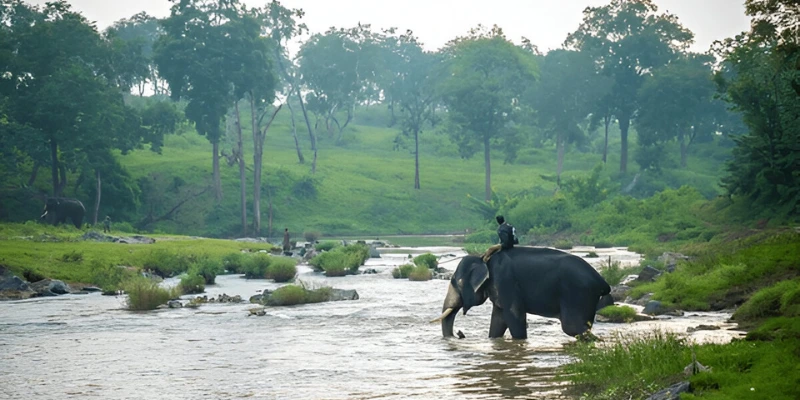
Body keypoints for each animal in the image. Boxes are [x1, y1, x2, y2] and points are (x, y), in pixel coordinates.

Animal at [432, 248, 612, 340]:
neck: (483, 258)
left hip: (577, 294)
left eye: (456, 282)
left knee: (572, 327)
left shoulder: (506, 282)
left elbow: (514, 316)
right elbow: (498, 320)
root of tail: (603, 282)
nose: (459, 334)